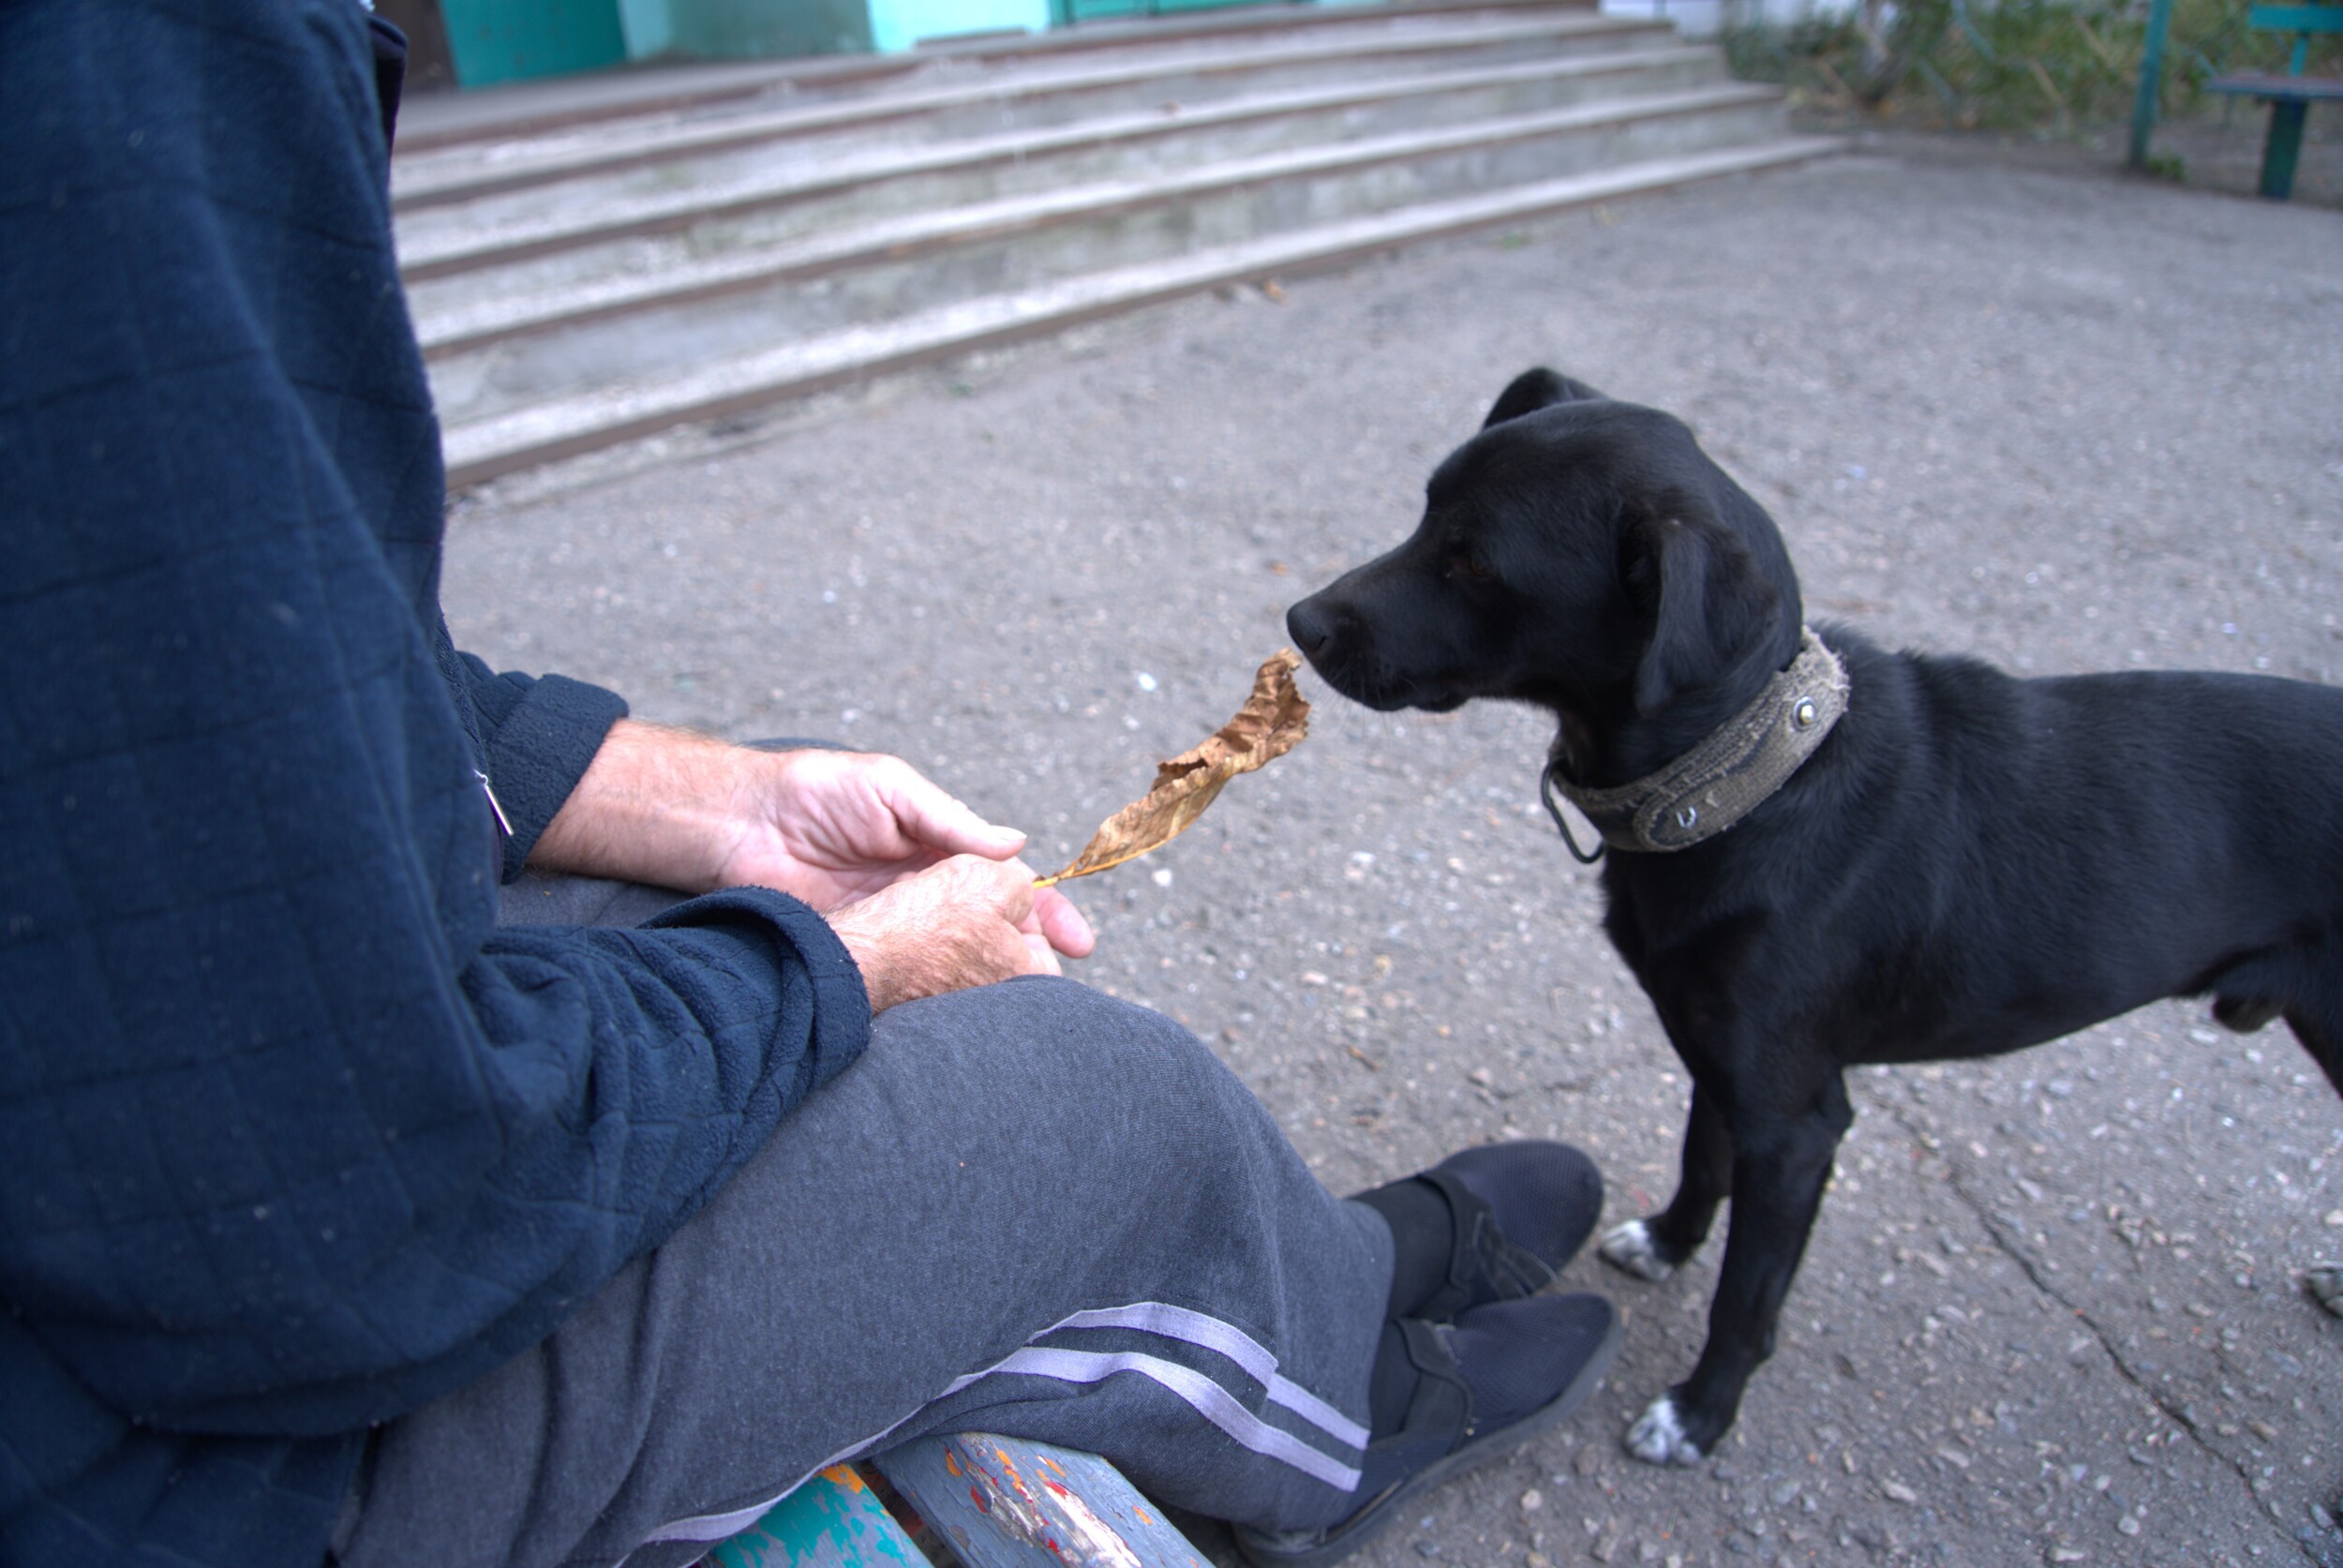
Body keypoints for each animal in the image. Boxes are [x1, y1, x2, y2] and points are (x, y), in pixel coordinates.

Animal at [1284, 370, 2343, 1471]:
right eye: (1425, 512)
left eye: (1477, 562)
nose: (1300, 621)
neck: (1751, 782)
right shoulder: (1722, 1064)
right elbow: (1700, 1158)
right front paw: (1668, 1242)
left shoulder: (1795, 1124)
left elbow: (1746, 1297)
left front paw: (1698, 1415)